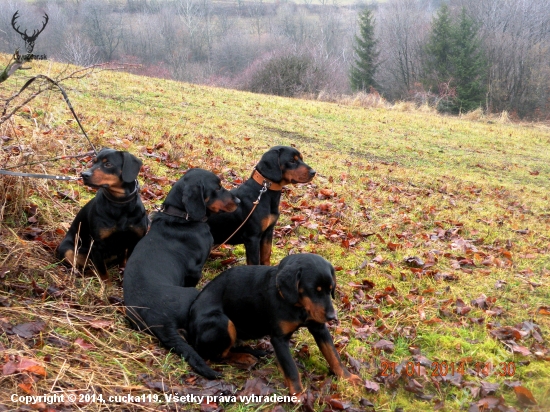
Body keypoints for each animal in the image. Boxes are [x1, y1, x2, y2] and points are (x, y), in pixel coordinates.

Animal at [55, 149, 149, 284]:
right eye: (93, 162)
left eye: (108, 164)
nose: (84, 174)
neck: (119, 205)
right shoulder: (97, 246)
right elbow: (104, 274)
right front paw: (106, 287)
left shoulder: (134, 241)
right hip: (67, 250)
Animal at [188, 254, 364, 392]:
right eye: (314, 290)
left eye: (330, 288)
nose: (332, 317)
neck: (297, 305)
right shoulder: (279, 339)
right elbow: (291, 369)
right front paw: (299, 395)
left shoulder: (319, 328)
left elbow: (334, 356)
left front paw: (348, 377)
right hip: (223, 322)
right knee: (216, 355)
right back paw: (244, 357)